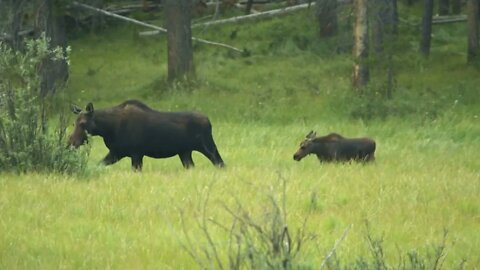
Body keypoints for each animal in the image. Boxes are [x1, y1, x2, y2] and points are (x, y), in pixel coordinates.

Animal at [68, 99, 226, 171]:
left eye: (83, 123)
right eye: (74, 123)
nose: (71, 142)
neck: (108, 129)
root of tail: (209, 121)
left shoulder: (136, 153)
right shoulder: (117, 152)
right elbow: (98, 165)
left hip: (208, 147)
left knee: (220, 163)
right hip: (185, 152)